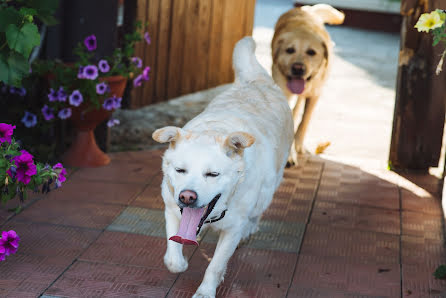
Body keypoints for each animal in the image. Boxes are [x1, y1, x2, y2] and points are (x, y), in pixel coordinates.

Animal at [152, 37, 294, 298]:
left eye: (212, 174)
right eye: (180, 171)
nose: (187, 197)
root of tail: (257, 81)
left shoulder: (232, 230)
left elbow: (216, 265)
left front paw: (205, 291)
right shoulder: (171, 207)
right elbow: (173, 255)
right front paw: (179, 261)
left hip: (271, 185)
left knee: (258, 210)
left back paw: (251, 227)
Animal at [272, 3, 344, 164]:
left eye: (311, 52)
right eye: (289, 50)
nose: (298, 68)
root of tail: (307, 9)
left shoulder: (315, 95)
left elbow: (304, 121)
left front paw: (298, 145)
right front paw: (289, 155)